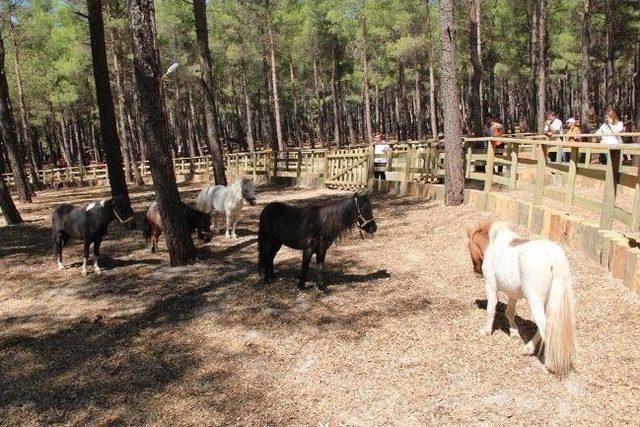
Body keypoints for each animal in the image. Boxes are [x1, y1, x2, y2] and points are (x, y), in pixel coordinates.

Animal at [468, 221, 576, 378]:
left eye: (469, 245)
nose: (476, 272)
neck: (493, 244)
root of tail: (554, 258)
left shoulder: (491, 286)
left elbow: (491, 310)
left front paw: (486, 331)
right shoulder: (512, 294)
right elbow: (510, 312)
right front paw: (514, 333)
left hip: (534, 300)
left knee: (545, 327)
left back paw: (548, 366)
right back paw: (528, 349)